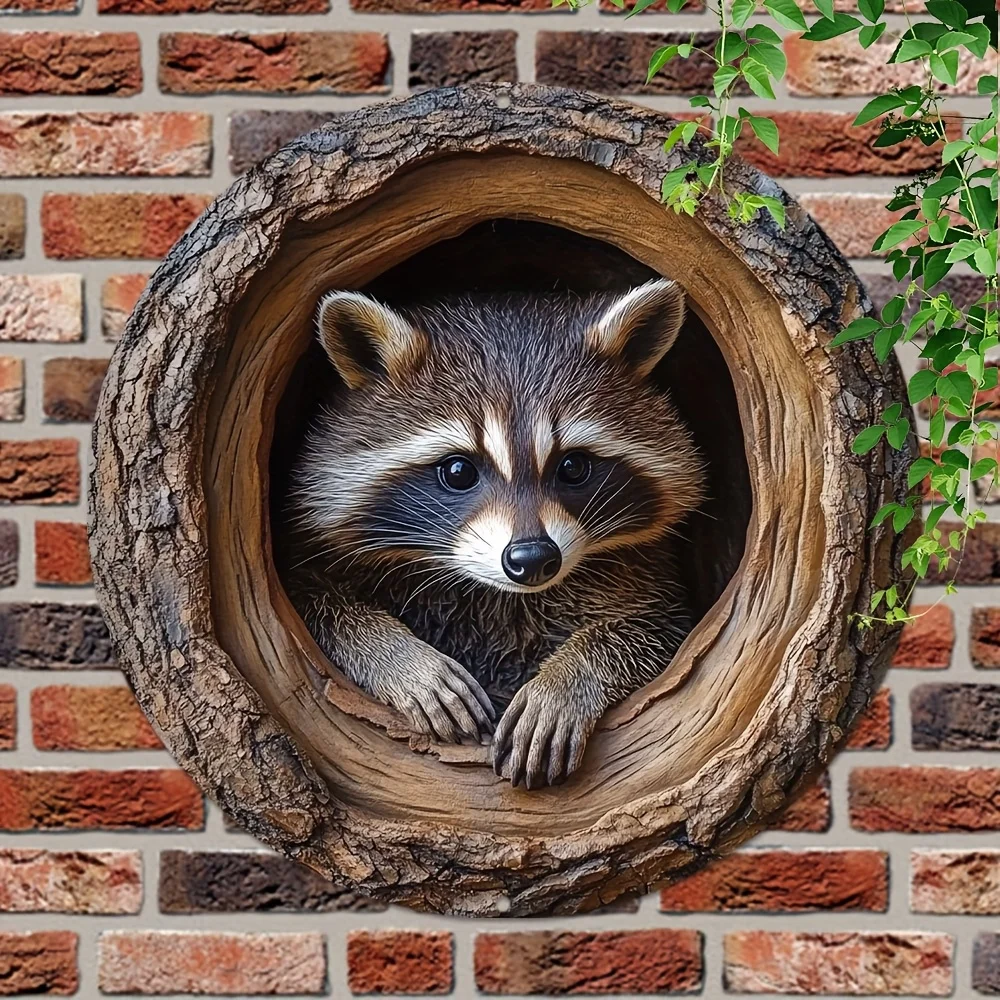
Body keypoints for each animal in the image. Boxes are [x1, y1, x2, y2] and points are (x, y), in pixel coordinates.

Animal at [284, 279, 706, 789]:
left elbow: (651, 628)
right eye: (458, 471)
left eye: (573, 466)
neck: (499, 595)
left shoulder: (643, 575)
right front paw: (401, 658)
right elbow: (318, 603)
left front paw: (566, 680)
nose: (532, 559)